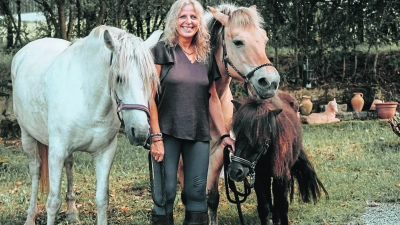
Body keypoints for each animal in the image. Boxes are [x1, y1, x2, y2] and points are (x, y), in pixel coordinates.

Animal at [11, 25, 158, 224]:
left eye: (150, 77)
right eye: (119, 78)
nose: (141, 132)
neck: (86, 96)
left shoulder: (105, 153)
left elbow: (102, 199)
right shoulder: (56, 152)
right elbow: (53, 202)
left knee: (69, 164)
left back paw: (72, 211)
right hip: (27, 135)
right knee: (35, 170)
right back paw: (30, 217)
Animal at [228, 91, 328, 225]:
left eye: (258, 137)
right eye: (237, 134)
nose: (235, 171)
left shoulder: (282, 177)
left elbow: (282, 206)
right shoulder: (259, 177)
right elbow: (264, 207)